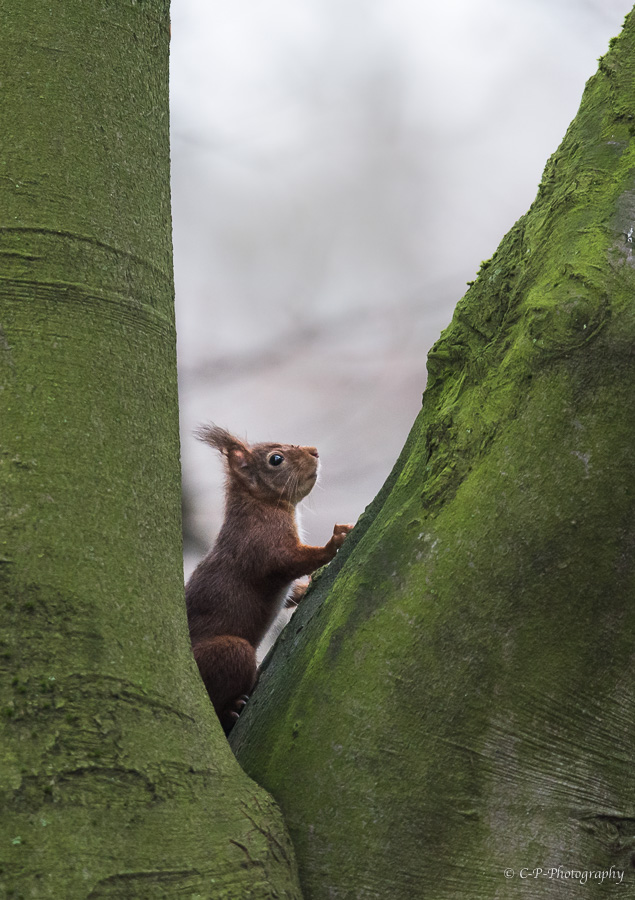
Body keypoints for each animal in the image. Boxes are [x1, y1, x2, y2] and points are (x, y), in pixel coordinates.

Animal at [184, 428, 356, 732]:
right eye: (276, 459)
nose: (314, 451)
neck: (259, 503)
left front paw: (305, 587)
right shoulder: (261, 543)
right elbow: (290, 562)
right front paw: (334, 542)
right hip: (232, 651)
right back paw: (230, 710)